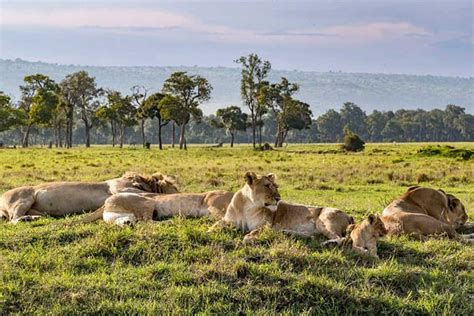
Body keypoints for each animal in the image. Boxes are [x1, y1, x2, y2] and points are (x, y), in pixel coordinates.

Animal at [0, 172, 178, 223]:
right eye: (175, 187)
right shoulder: (118, 188)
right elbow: (154, 194)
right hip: (23, 199)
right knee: (13, 219)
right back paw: (28, 219)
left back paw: (34, 218)